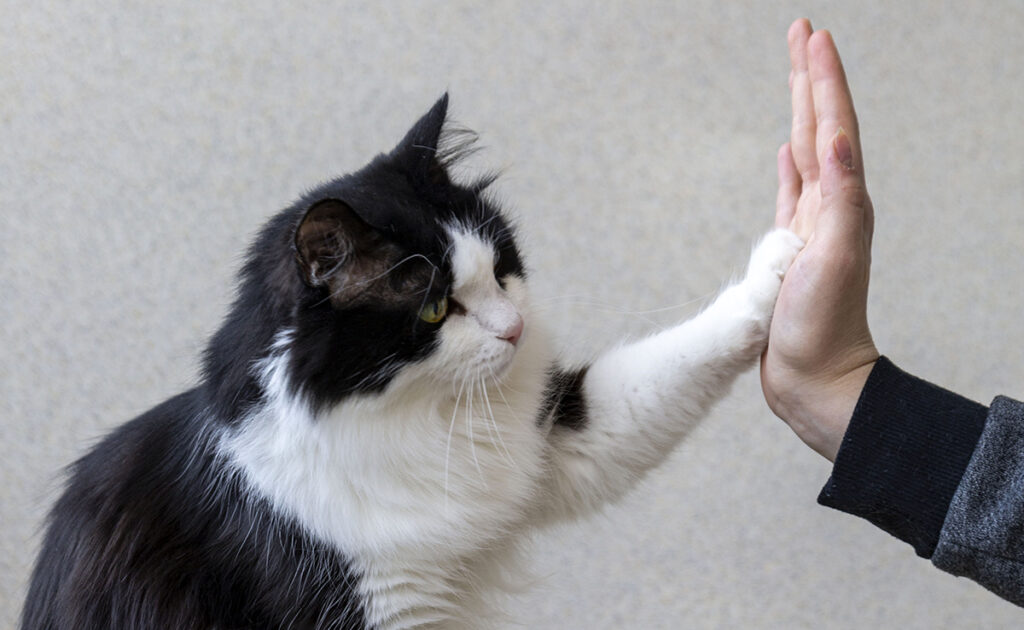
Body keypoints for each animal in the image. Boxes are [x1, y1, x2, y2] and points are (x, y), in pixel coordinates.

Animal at [19, 94, 802, 630]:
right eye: (433, 310)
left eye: (502, 269)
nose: (514, 329)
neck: (415, 414)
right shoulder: (368, 599)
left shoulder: (561, 443)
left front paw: (789, 256)